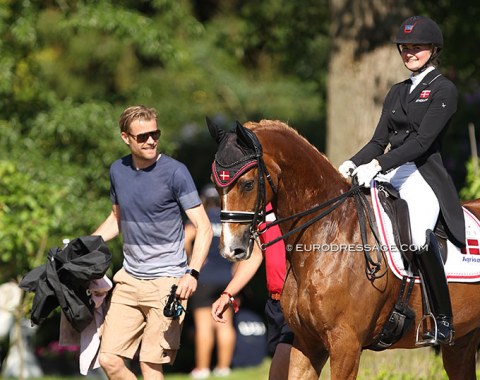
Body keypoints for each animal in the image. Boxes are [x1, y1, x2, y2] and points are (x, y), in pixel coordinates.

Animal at [209, 119, 480, 380]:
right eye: (215, 183)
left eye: (247, 184)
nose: (231, 249)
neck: (328, 233)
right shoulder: (307, 344)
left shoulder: (346, 344)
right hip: (462, 341)